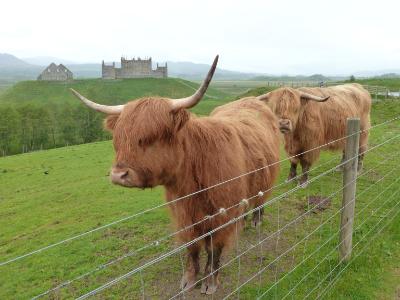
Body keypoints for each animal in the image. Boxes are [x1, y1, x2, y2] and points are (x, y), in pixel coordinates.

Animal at [70, 56, 280, 296]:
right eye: (118, 139)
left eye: (150, 137)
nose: (117, 175)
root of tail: (252, 101)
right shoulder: (183, 215)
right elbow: (192, 246)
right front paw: (189, 279)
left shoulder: (221, 214)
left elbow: (214, 248)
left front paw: (210, 281)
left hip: (265, 178)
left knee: (260, 200)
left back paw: (255, 220)